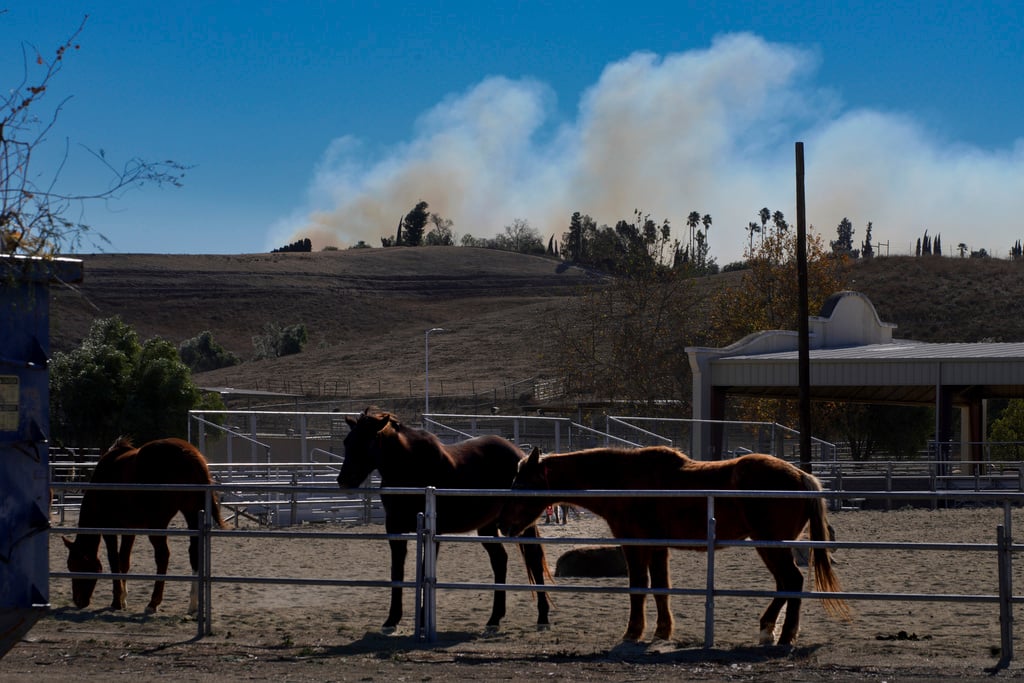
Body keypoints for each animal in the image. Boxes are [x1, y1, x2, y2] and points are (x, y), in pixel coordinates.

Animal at [64, 438, 226, 614]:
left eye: (75, 566)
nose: (78, 601)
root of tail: (189, 454)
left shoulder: (109, 530)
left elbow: (114, 560)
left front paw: (117, 601)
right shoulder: (129, 530)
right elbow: (124, 561)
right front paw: (123, 599)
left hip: (158, 524)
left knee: (163, 556)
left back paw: (153, 603)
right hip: (192, 514)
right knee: (194, 553)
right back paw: (193, 604)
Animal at [337, 409, 552, 634]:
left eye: (368, 441)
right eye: (347, 441)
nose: (343, 480)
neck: (410, 468)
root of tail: (521, 456)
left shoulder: (433, 532)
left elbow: (424, 571)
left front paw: (423, 621)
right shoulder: (395, 530)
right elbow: (397, 572)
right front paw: (391, 620)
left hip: (523, 523)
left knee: (534, 559)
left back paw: (542, 617)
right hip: (487, 525)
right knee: (500, 560)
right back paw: (494, 618)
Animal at [501, 448, 847, 647]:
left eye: (522, 484)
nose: (504, 525)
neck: (626, 480)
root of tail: (801, 476)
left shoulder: (636, 544)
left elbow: (639, 588)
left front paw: (633, 632)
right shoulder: (658, 547)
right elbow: (661, 588)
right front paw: (662, 631)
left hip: (771, 545)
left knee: (792, 581)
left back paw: (782, 635)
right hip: (771, 547)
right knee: (785, 584)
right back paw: (769, 631)